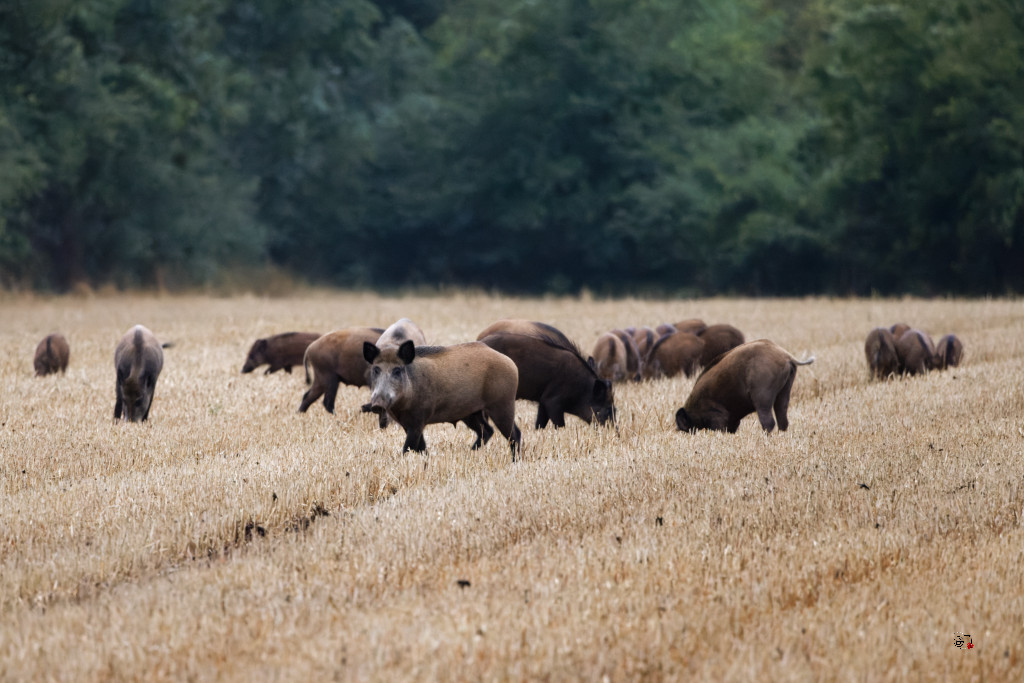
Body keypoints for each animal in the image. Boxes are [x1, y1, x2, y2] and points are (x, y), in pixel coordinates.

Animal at [363, 340, 521, 457]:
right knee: (487, 431)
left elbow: (408, 448)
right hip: (471, 413)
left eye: (397, 370)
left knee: (514, 435)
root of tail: (511, 363)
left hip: (502, 405)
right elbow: (421, 448)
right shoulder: (406, 423)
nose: (377, 404)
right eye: (376, 369)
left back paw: (515, 461)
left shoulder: (418, 419)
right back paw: (469, 454)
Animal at [478, 330, 615, 428]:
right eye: (608, 408)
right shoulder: (552, 402)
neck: (582, 388)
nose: (616, 433)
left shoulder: (543, 401)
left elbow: (540, 424)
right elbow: (559, 425)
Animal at [675, 339, 815, 433]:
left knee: (769, 422)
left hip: (763, 397)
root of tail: (787, 357)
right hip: (784, 392)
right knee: (783, 420)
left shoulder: (718, 417)